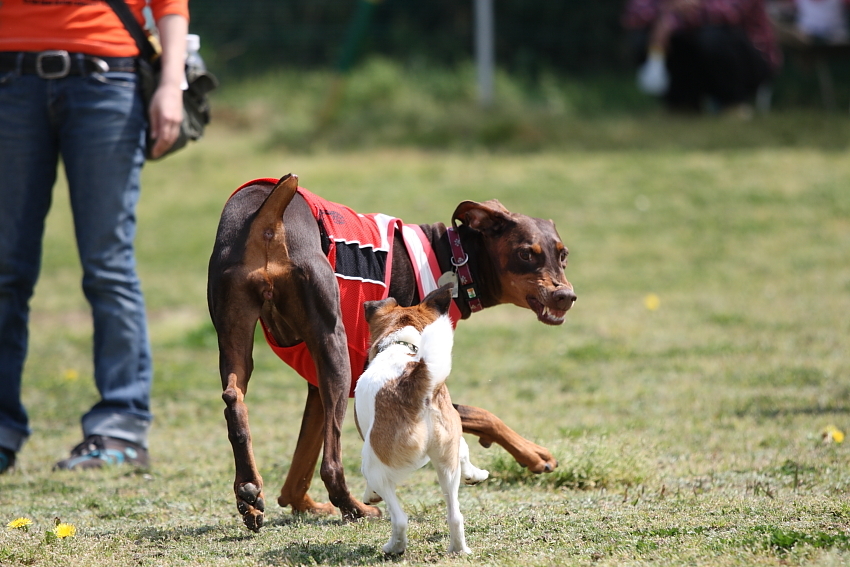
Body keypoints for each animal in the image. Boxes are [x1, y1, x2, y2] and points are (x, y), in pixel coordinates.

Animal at [352, 284, 486, 556]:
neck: (401, 345)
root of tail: (415, 379)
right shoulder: (454, 436)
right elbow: (465, 450)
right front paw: (475, 474)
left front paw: (370, 495)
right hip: (445, 463)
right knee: (455, 515)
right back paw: (458, 549)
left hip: (373, 463)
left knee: (400, 518)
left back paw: (393, 547)